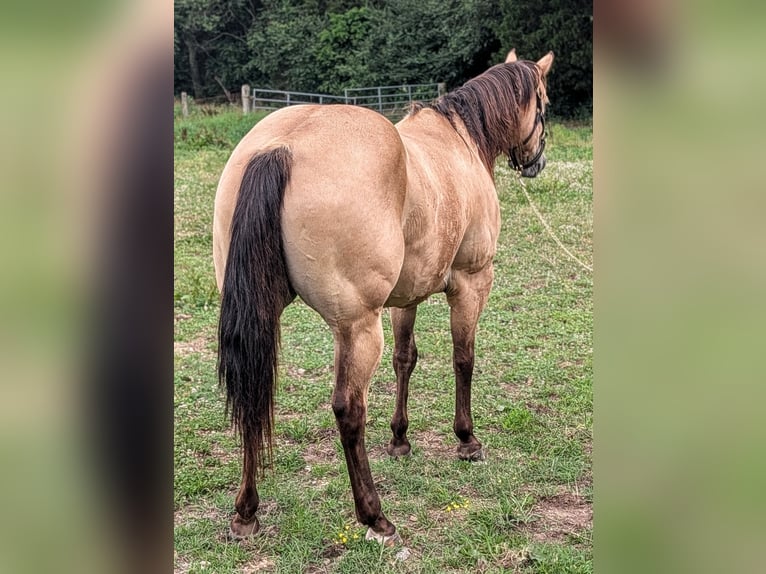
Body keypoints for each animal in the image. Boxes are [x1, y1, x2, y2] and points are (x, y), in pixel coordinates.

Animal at [213, 49, 553, 543]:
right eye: (544, 104)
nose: (536, 161)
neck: (460, 142)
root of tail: (280, 148)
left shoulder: (405, 299)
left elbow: (405, 360)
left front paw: (399, 438)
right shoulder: (472, 283)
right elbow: (463, 358)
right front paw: (466, 439)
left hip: (263, 316)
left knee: (254, 396)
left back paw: (246, 511)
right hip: (357, 328)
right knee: (348, 410)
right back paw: (374, 515)